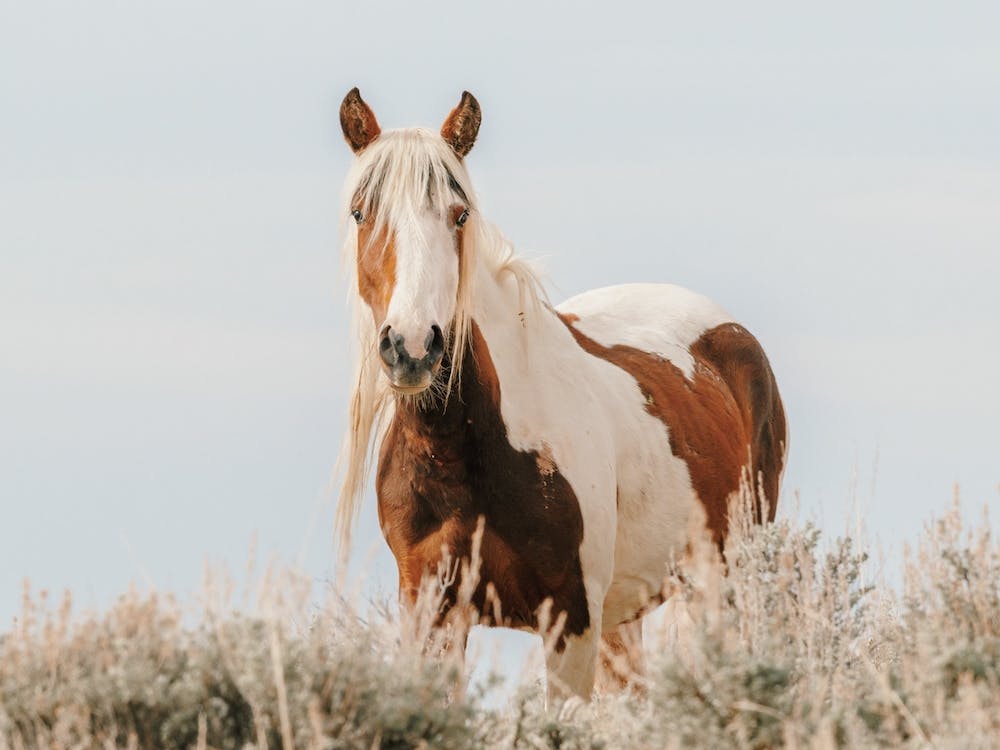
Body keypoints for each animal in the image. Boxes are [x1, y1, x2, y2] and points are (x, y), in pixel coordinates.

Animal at [334, 88, 787, 700]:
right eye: (362, 213)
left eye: (460, 214)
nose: (412, 346)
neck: (465, 453)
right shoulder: (430, 615)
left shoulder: (571, 620)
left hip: (721, 581)